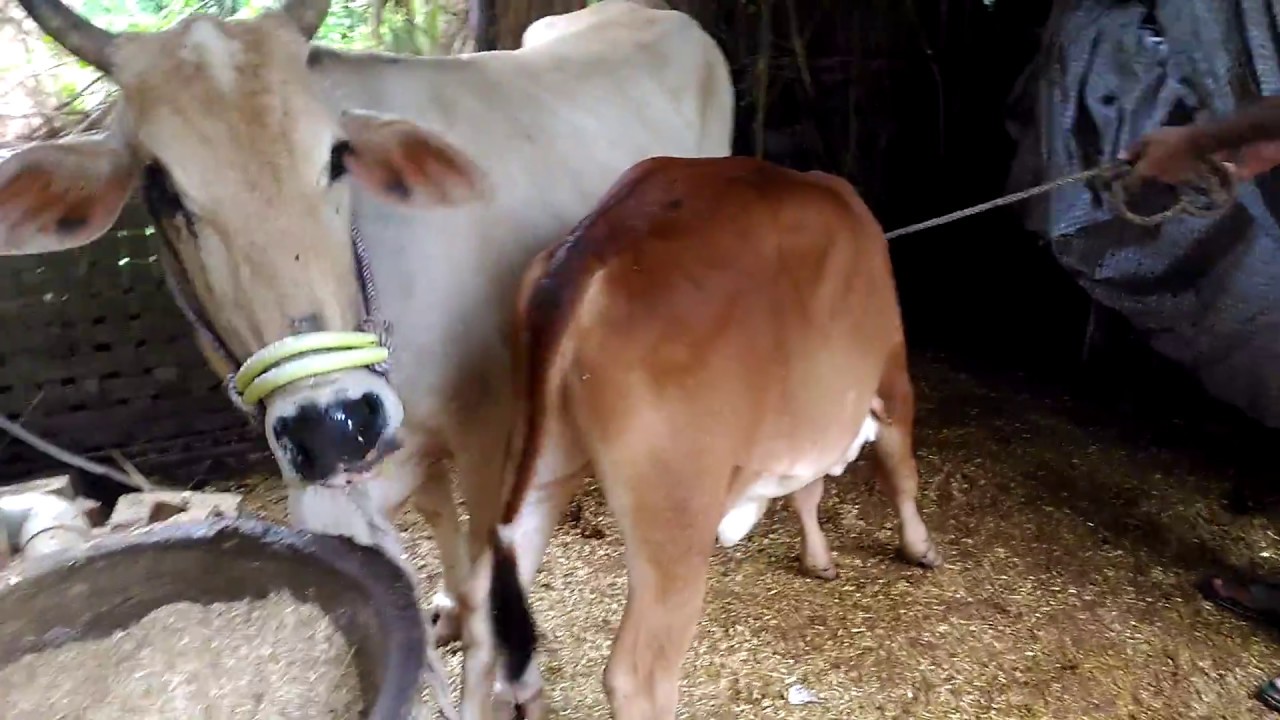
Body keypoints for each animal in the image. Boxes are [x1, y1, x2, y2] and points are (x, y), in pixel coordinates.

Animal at [493, 154, 943, 718]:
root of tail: (597, 240)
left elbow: (807, 491)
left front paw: (817, 557)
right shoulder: (891, 375)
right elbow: (900, 472)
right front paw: (919, 547)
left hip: (536, 465)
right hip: (676, 510)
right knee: (638, 673)